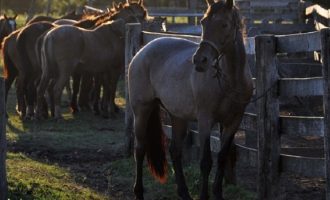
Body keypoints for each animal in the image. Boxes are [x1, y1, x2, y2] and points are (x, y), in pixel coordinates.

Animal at [128, 0, 253, 199]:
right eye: (203, 23)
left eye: (224, 25)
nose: (199, 60)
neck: (229, 79)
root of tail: (142, 51)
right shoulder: (205, 120)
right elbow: (206, 162)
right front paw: (204, 195)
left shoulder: (233, 122)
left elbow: (222, 157)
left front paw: (217, 193)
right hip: (141, 111)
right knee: (139, 150)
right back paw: (138, 191)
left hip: (178, 116)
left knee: (175, 151)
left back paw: (184, 193)